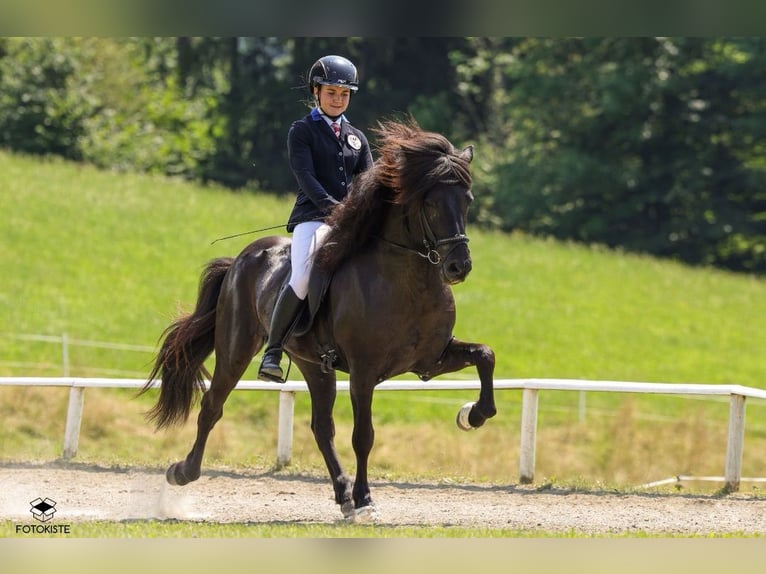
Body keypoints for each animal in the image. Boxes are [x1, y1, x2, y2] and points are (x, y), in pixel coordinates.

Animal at [141, 120, 500, 520]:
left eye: (467, 200)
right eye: (431, 202)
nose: (458, 267)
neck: (408, 281)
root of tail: (240, 259)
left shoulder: (429, 360)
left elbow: (485, 355)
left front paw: (473, 414)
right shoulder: (364, 371)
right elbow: (363, 435)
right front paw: (366, 499)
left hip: (314, 365)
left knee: (321, 428)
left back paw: (342, 494)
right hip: (236, 349)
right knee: (212, 407)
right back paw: (182, 472)